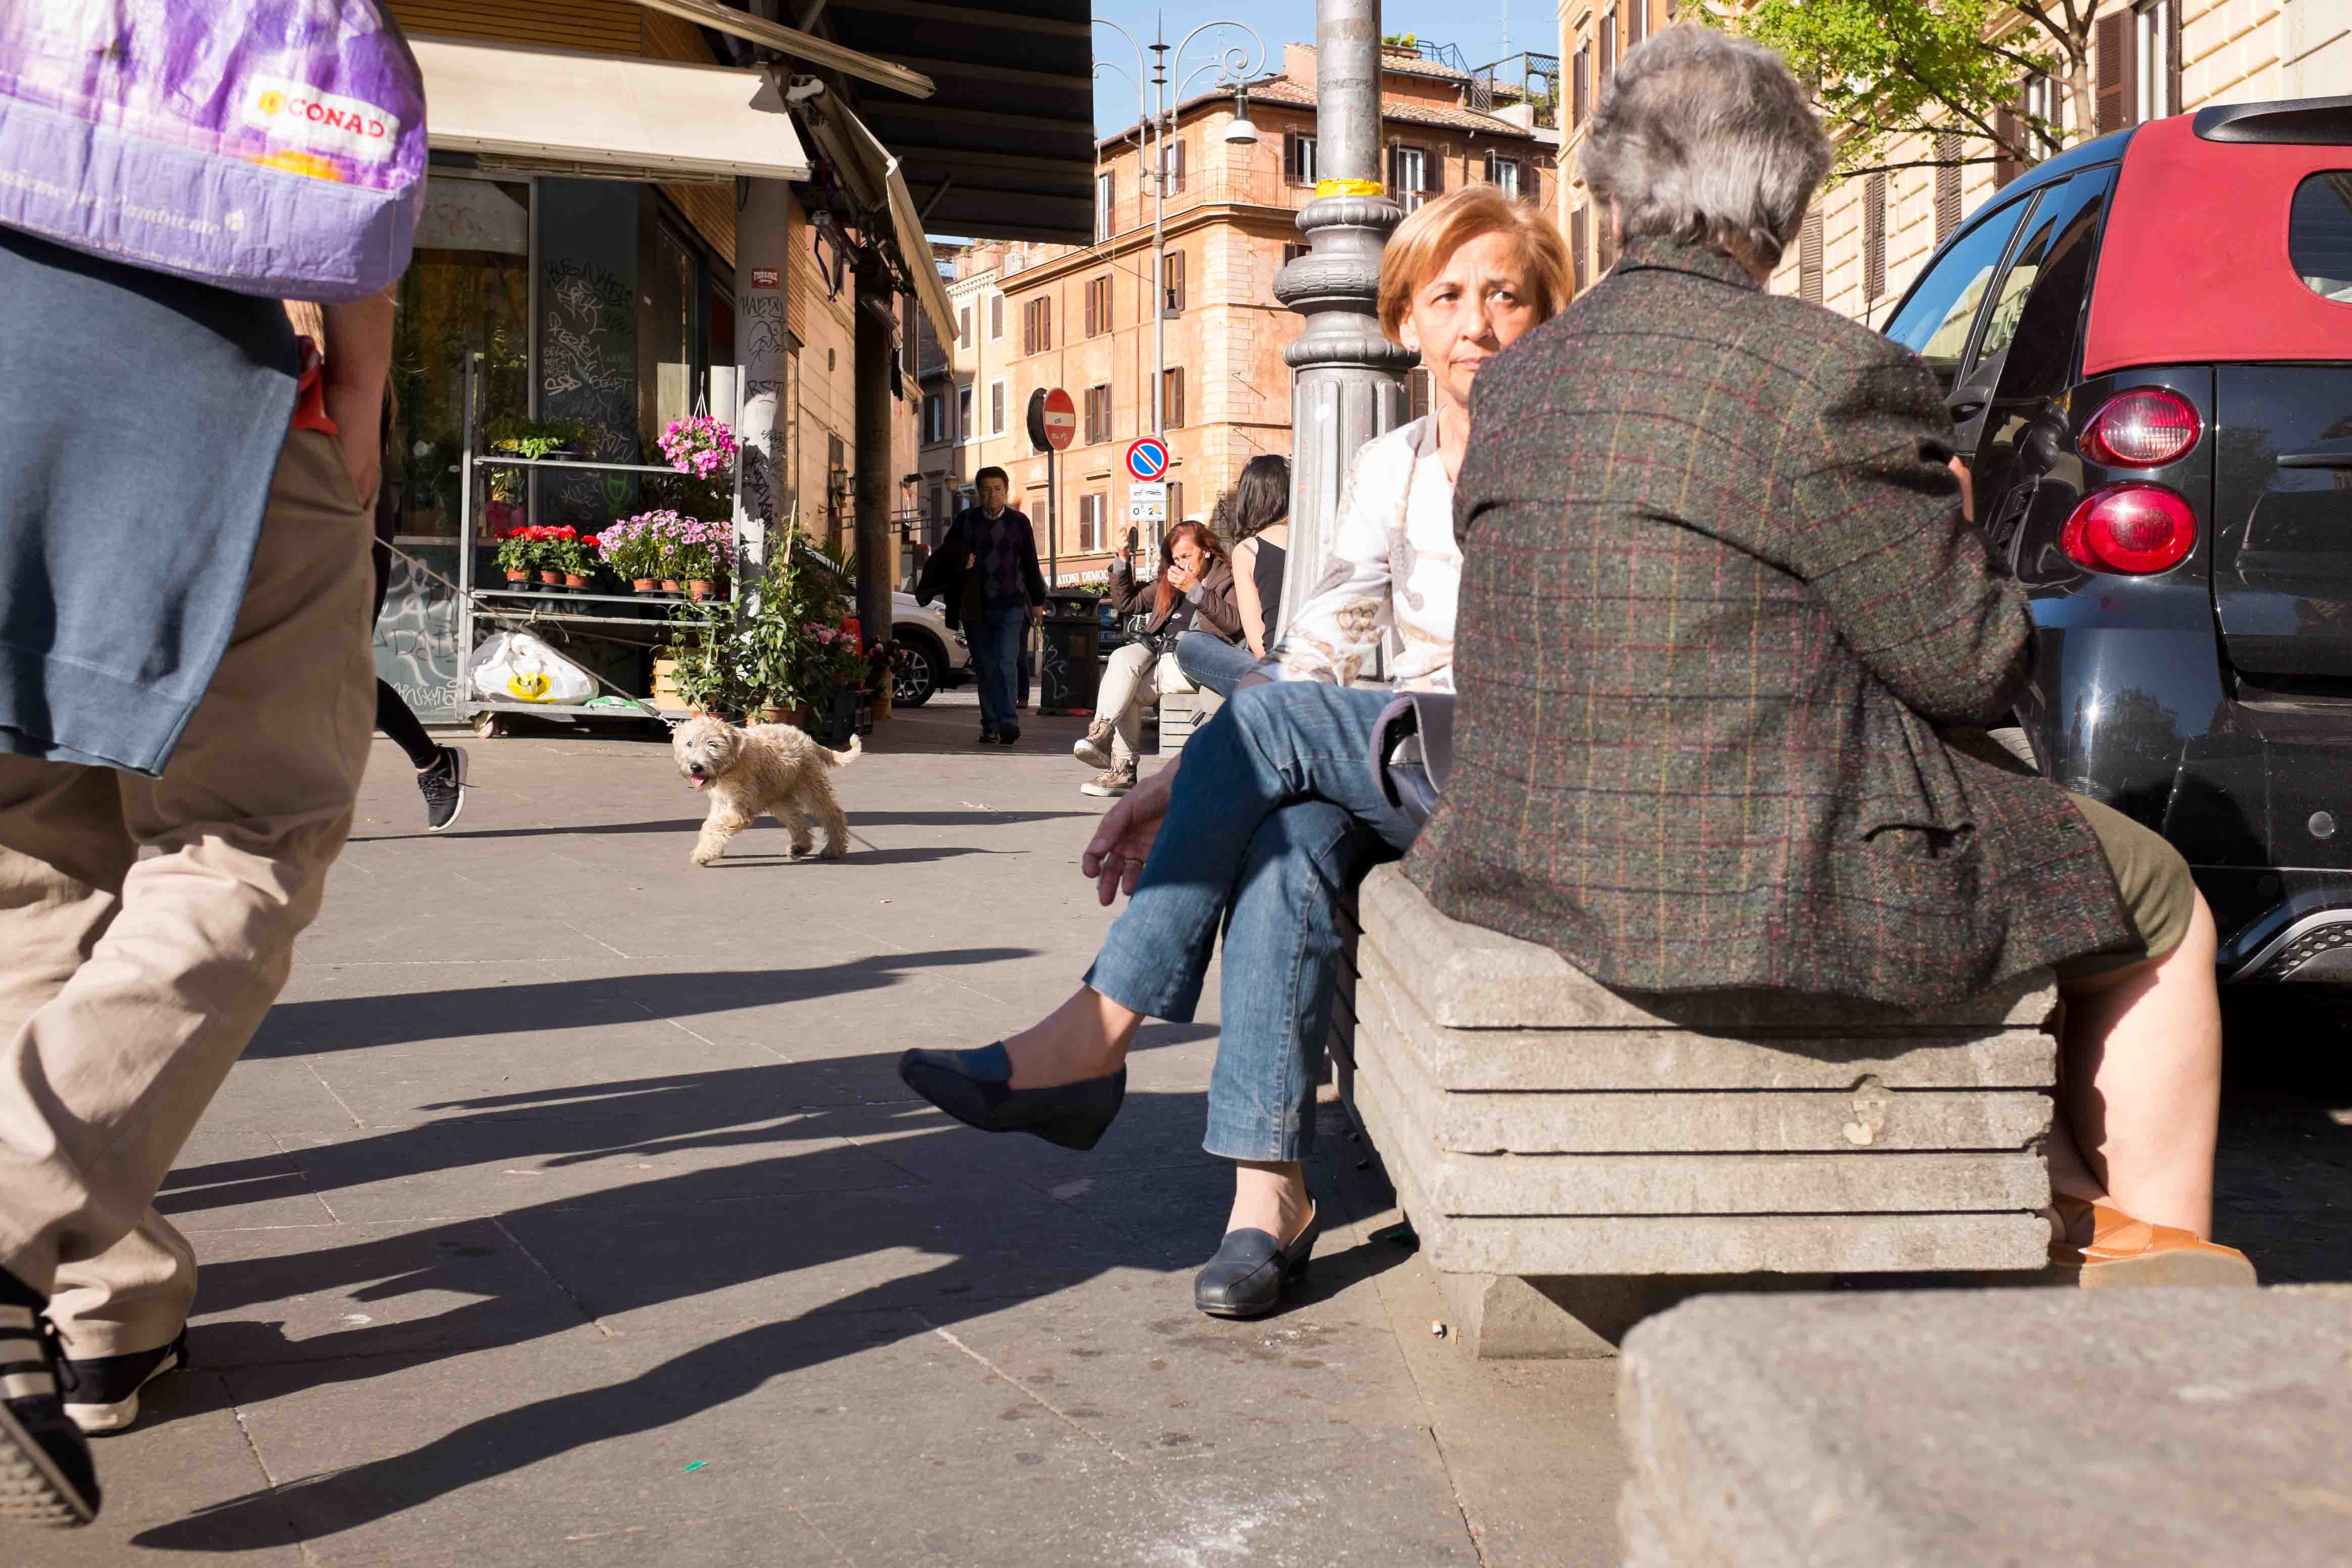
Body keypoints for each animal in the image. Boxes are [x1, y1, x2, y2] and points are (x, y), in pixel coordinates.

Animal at [673, 715, 865, 865]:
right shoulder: (722, 803)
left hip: (810, 786)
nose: (695, 767)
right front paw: (708, 850)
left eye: (712, 744)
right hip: (779, 797)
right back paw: (799, 847)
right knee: (798, 819)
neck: (732, 763)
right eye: (689, 744)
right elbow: (709, 825)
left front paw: (703, 854)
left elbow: (715, 826)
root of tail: (807, 739)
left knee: (832, 813)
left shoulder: (739, 807)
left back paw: (834, 849)